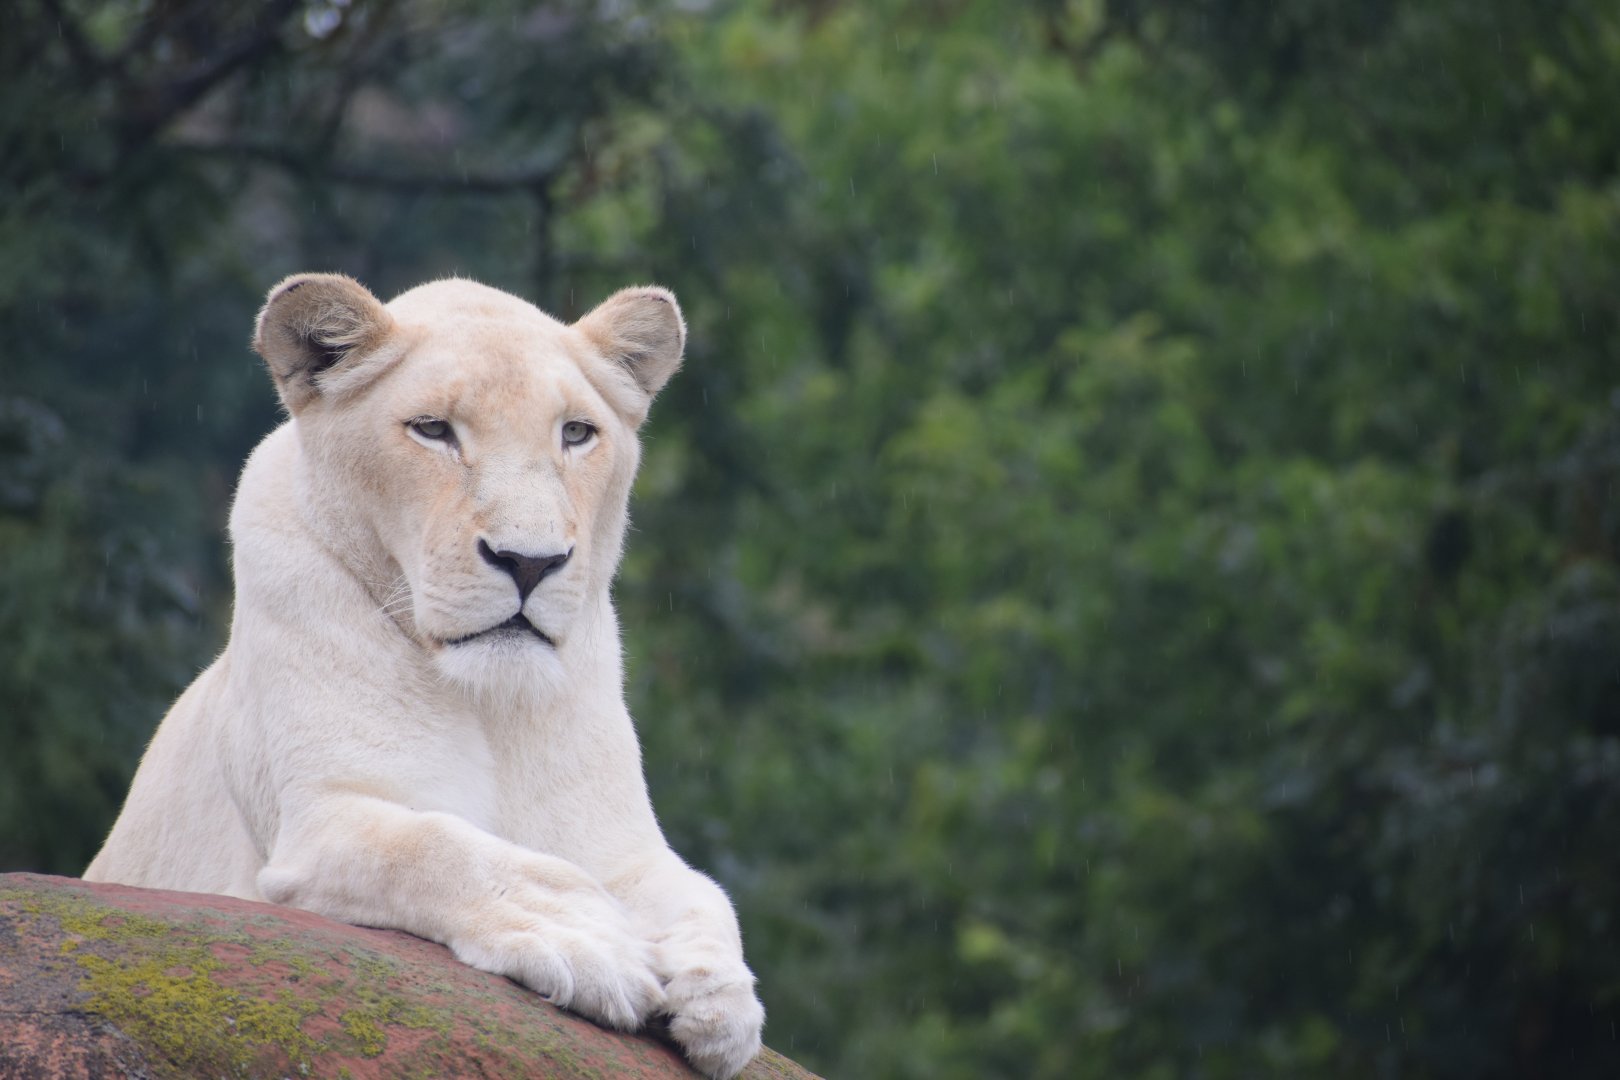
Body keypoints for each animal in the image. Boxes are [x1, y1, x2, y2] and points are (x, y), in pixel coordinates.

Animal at [84, 273, 765, 1078]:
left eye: (576, 433)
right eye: (434, 429)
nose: (530, 562)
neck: (491, 702)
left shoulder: (619, 847)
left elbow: (701, 893)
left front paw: (718, 998)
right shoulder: (314, 825)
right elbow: (439, 846)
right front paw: (587, 939)